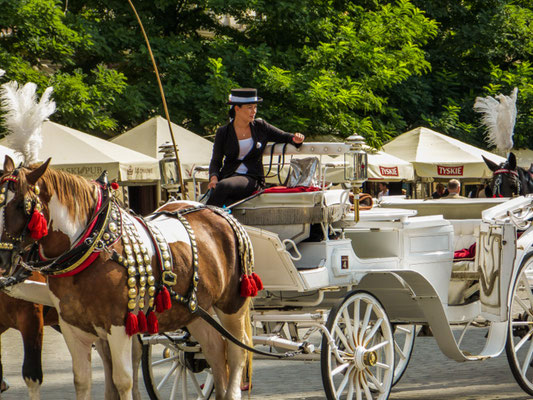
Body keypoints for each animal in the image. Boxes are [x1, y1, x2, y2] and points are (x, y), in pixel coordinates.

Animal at [0, 157, 254, 400]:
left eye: (22, 205)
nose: (2, 261)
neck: (91, 246)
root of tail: (217, 210)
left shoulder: (118, 325)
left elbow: (123, 381)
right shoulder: (73, 327)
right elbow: (81, 381)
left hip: (232, 305)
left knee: (237, 350)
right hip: (195, 310)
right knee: (215, 349)